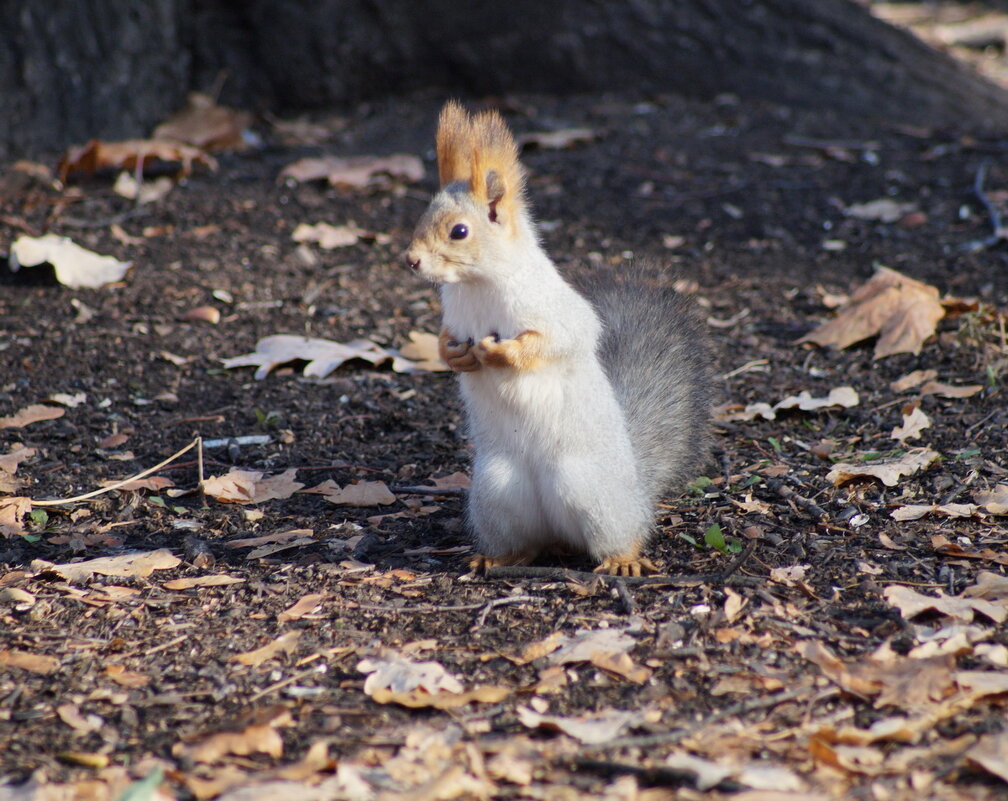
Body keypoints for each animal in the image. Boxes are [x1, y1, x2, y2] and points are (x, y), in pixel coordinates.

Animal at [401, 101, 709, 576]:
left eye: (459, 231)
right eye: (421, 218)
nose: (411, 261)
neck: (477, 286)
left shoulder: (560, 315)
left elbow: (554, 341)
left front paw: (502, 352)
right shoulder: (454, 316)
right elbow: (446, 340)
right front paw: (456, 355)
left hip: (590, 490)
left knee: (621, 534)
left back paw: (622, 559)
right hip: (497, 492)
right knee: (528, 542)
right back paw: (497, 557)